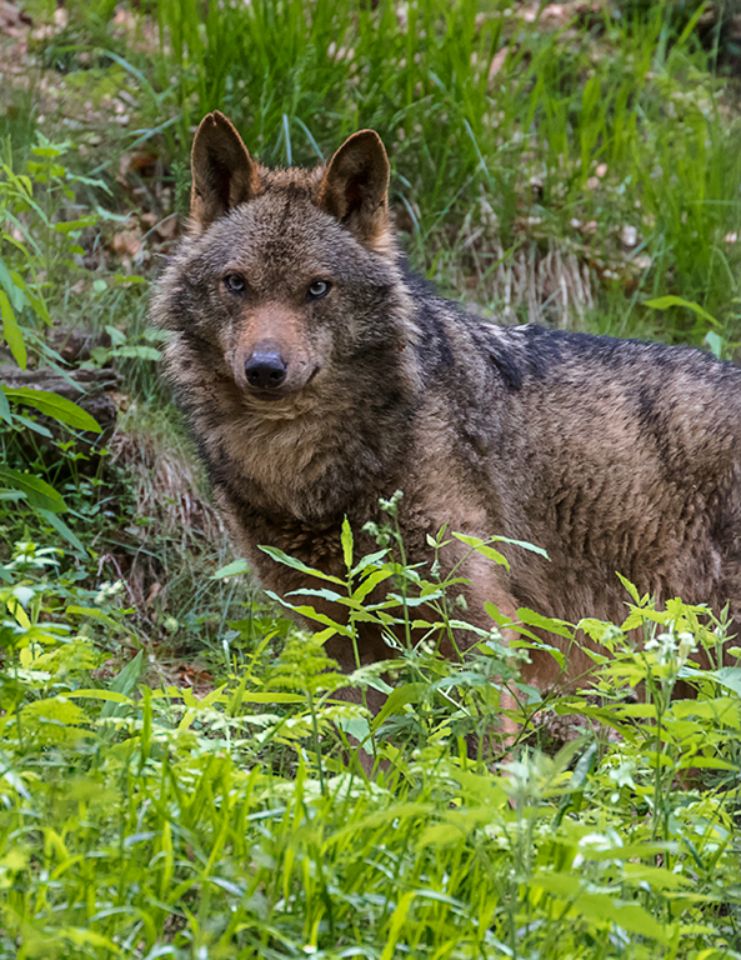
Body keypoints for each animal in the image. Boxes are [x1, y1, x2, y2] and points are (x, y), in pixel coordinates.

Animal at [152, 111, 741, 709]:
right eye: (236, 283)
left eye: (318, 288)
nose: (265, 369)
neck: (301, 469)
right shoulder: (342, 638)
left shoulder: (481, 622)